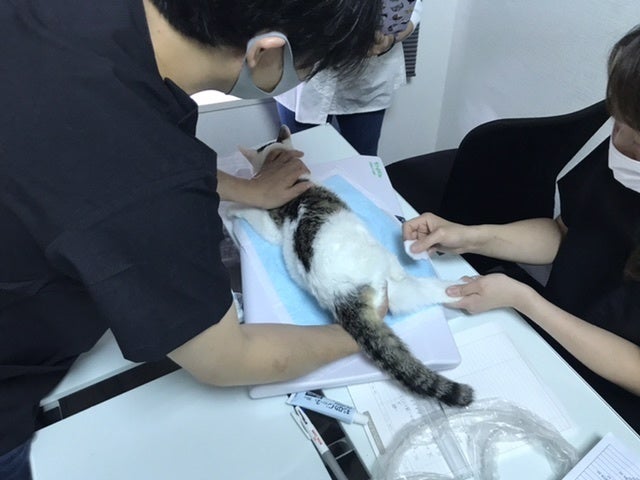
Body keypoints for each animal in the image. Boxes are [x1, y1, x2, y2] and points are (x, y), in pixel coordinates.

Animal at [227, 126, 473, 407]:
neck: (298, 184)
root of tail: (342, 295)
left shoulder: (273, 225)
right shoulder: (272, 219)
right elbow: (248, 210)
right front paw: (232, 207)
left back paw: (458, 286)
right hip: (388, 271)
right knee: (410, 280)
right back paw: (443, 274)